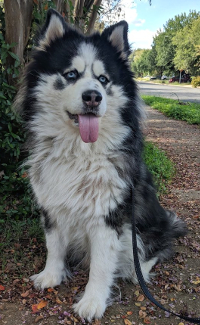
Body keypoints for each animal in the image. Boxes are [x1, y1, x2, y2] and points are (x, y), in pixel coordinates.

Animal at [14, 8, 187, 320]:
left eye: (104, 79)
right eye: (71, 75)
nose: (93, 96)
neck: (78, 152)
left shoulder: (108, 217)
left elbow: (101, 266)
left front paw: (92, 302)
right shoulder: (52, 206)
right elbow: (53, 246)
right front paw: (51, 276)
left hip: (149, 225)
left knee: (154, 250)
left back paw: (137, 270)